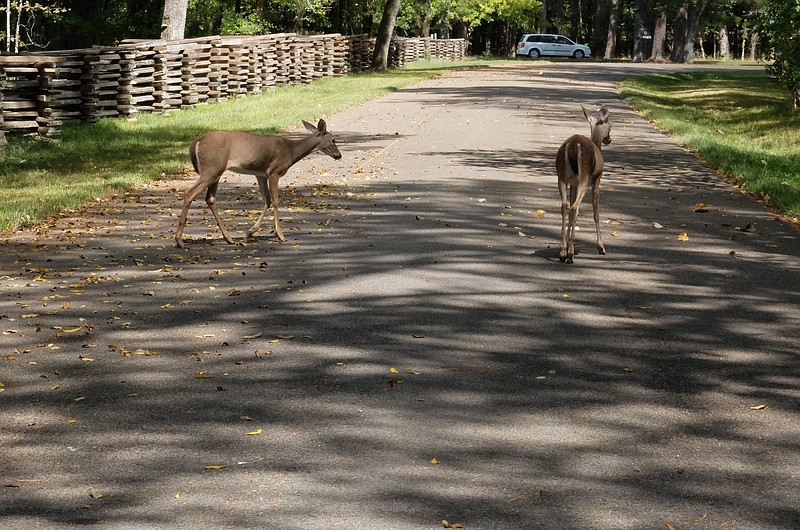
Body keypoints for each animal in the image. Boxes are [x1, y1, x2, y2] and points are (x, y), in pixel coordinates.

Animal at [174, 118, 340, 249]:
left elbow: (266, 200)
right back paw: (179, 241)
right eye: (333, 140)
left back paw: (228, 238)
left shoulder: (260, 174)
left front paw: (250, 231)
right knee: (189, 192)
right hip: (211, 169)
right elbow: (275, 200)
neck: (290, 152)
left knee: (210, 198)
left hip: (216, 172)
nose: (339, 155)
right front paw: (280, 235)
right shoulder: (274, 172)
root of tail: (196, 142)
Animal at [556, 104, 612, 262]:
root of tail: (573, 145)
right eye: (610, 125)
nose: (609, 139)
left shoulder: (573, 183)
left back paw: (563, 251)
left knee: (565, 205)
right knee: (575, 207)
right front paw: (601, 247)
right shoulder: (597, 180)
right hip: (585, 178)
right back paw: (570, 254)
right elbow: (596, 213)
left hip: (561, 175)